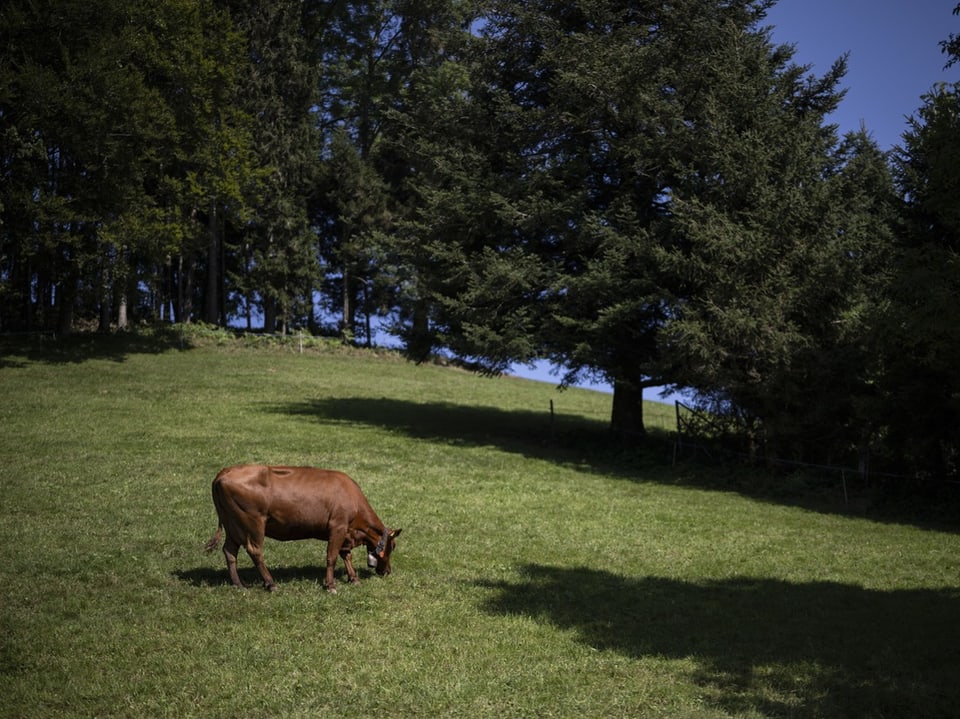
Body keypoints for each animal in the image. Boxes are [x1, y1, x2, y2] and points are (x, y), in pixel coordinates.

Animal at [202, 464, 402, 592]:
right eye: (392, 547)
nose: (387, 572)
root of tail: (224, 472)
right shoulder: (338, 526)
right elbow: (332, 557)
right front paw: (330, 585)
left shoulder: (346, 532)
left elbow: (346, 555)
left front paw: (353, 578)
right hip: (252, 523)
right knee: (255, 551)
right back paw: (271, 583)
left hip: (233, 525)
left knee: (229, 550)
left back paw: (238, 584)